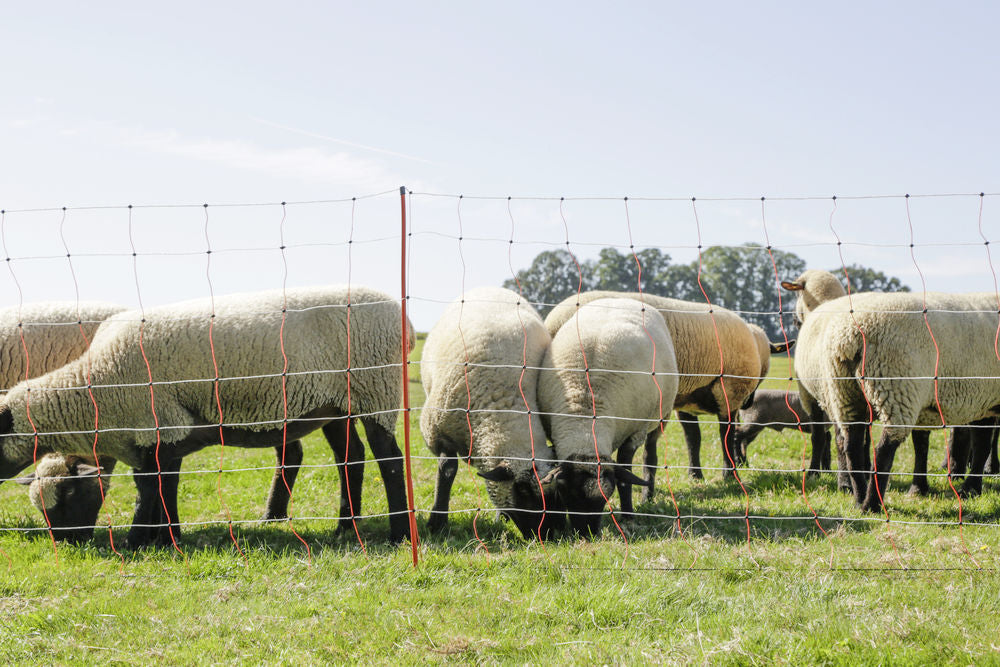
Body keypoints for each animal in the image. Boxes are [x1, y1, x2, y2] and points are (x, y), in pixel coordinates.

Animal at [0, 285, 412, 547]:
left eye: (67, 498)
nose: (69, 545)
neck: (94, 391)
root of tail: (401, 316)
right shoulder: (167, 432)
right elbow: (167, 486)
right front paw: (167, 537)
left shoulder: (153, 422)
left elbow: (148, 489)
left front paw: (137, 541)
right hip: (337, 404)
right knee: (350, 458)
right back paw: (345, 528)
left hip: (377, 386)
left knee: (390, 461)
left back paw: (399, 534)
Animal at [419, 287, 564, 539]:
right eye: (522, 490)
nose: (548, 535)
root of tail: (491, 287)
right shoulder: (441, 432)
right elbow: (446, 472)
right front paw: (437, 522)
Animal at [538, 297, 678, 536]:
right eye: (567, 494)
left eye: (605, 498)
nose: (588, 534)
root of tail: (620, 298)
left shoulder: (634, 432)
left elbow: (625, 475)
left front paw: (628, 516)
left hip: (661, 416)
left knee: (650, 454)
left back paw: (648, 495)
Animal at [545, 291, 788, 485]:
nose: (749, 403)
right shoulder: (721, 393)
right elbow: (706, 437)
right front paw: (709, 475)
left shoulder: (689, 399)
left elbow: (694, 439)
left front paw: (695, 476)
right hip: (728, 390)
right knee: (726, 434)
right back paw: (729, 473)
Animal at [782, 270, 1000, 511]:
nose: (794, 321)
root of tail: (848, 337)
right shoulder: (982, 399)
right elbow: (980, 444)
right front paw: (970, 488)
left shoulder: (982, 400)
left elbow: (975, 443)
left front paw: (963, 488)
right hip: (895, 387)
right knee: (882, 448)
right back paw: (872, 504)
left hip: (847, 393)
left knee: (852, 445)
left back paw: (860, 499)